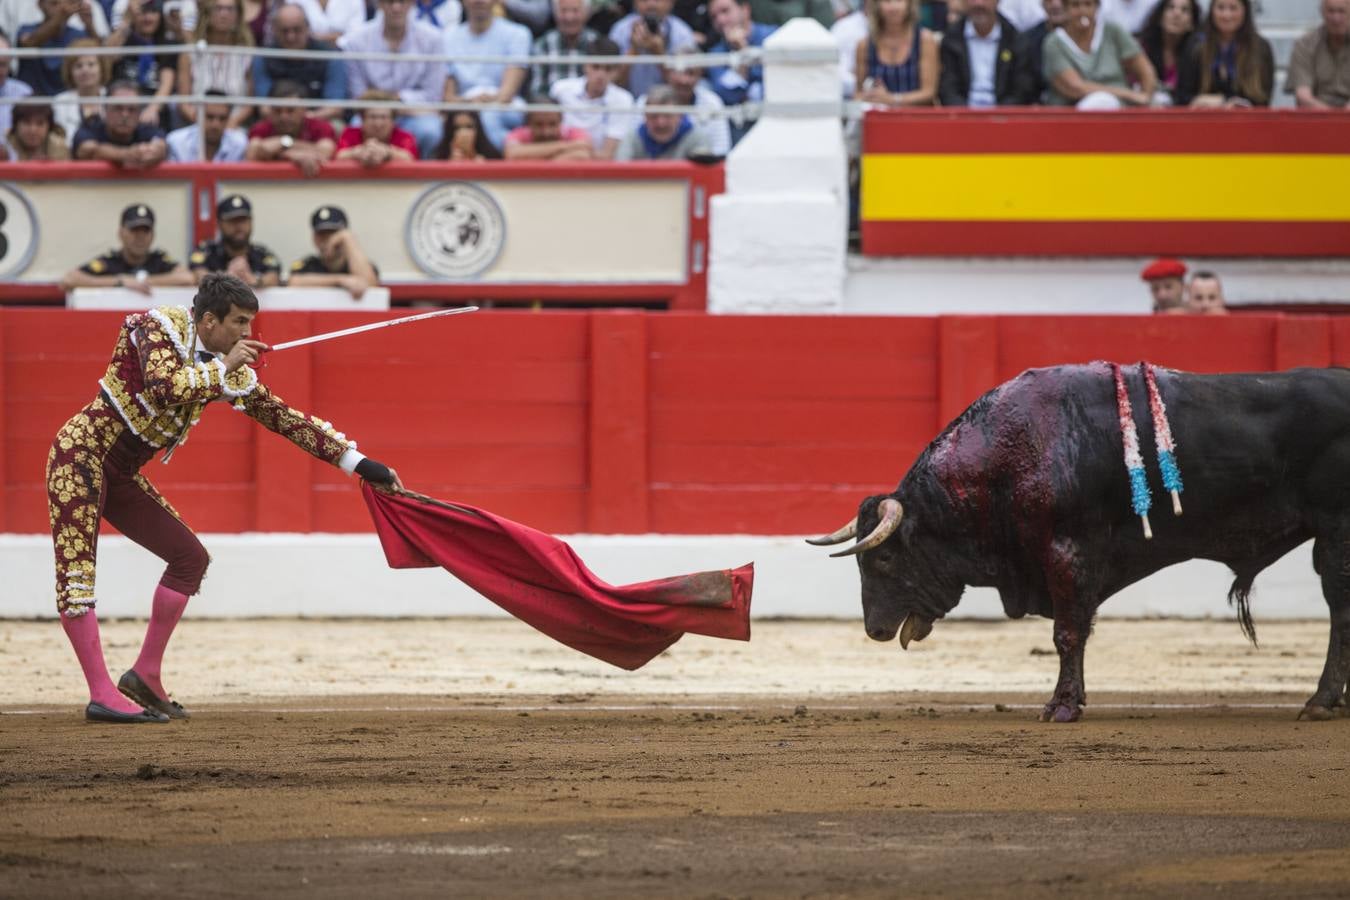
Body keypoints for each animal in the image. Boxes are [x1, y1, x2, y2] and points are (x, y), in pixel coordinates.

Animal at [804, 361, 1350, 723]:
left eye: (885, 559)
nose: (874, 630)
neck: (1005, 459)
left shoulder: (1067, 552)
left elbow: (1067, 633)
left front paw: (1061, 707)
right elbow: (1078, 630)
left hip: (1336, 529)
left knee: (1339, 609)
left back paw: (1320, 702)